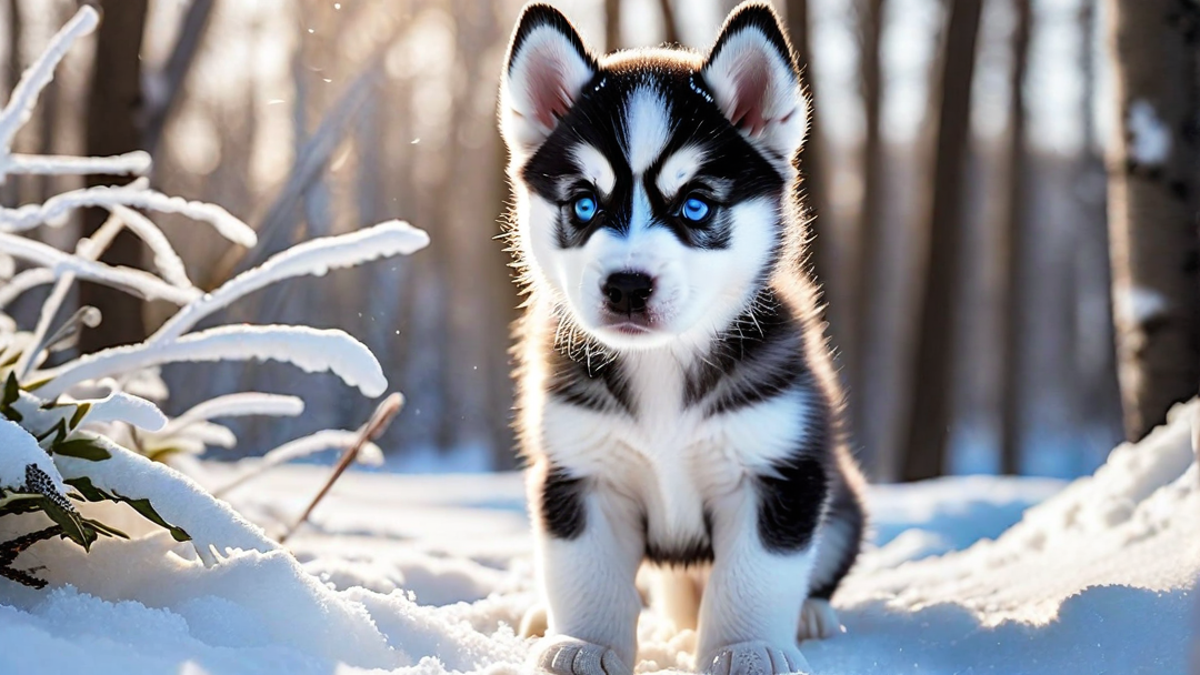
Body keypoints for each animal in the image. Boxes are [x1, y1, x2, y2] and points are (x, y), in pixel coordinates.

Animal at [501, 2, 868, 667]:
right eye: (585, 204)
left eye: (695, 206)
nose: (626, 286)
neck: (661, 365)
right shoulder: (578, 472)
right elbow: (586, 576)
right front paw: (584, 644)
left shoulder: (778, 471)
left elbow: (754, 579)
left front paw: (750, 650)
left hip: (843, 496)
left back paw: (809, 614)